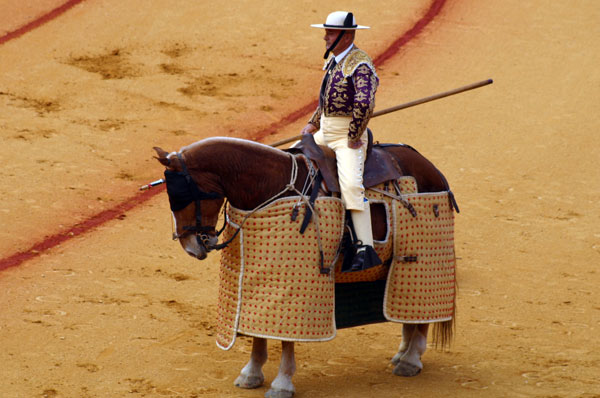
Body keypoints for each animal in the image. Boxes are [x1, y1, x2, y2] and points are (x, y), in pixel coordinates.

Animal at [154, 138, 454, 398]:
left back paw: (411, 360)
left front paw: (282, 383)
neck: (269, 185)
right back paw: (402, 353)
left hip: (422, 260)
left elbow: (286, 339)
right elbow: (258, 330)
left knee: (423, 309)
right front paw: (251, 374)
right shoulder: (259, 280)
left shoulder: (294, 287)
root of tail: (432, 168)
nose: (190, 246)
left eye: (183, 195)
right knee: (406, 311)